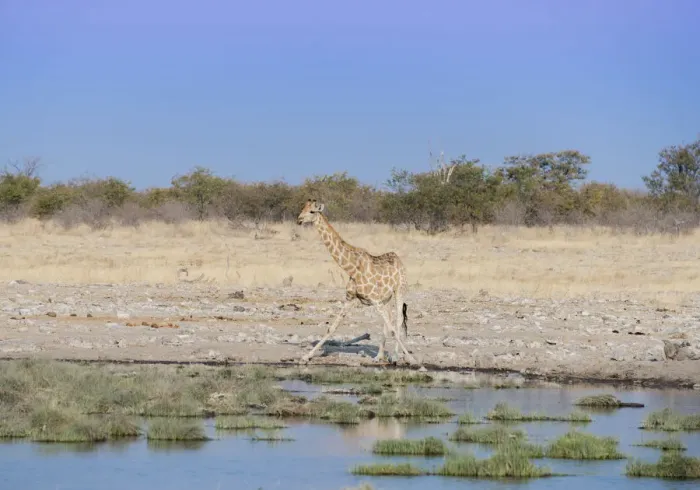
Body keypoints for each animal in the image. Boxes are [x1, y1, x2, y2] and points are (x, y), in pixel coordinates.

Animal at [296, 199, 418, 365]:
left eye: (312, 212)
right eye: (303, 208)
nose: (299, 220)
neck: (351, 268)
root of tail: (399, 260)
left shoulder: (375, 300)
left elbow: (393, 329)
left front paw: (412, 360)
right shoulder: (351, 298)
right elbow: (332, 327)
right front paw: (306, 357)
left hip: (400, 290)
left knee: (398, 320)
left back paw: (395, 356)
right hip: (385, 299)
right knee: (389, 321)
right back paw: (379, 356)